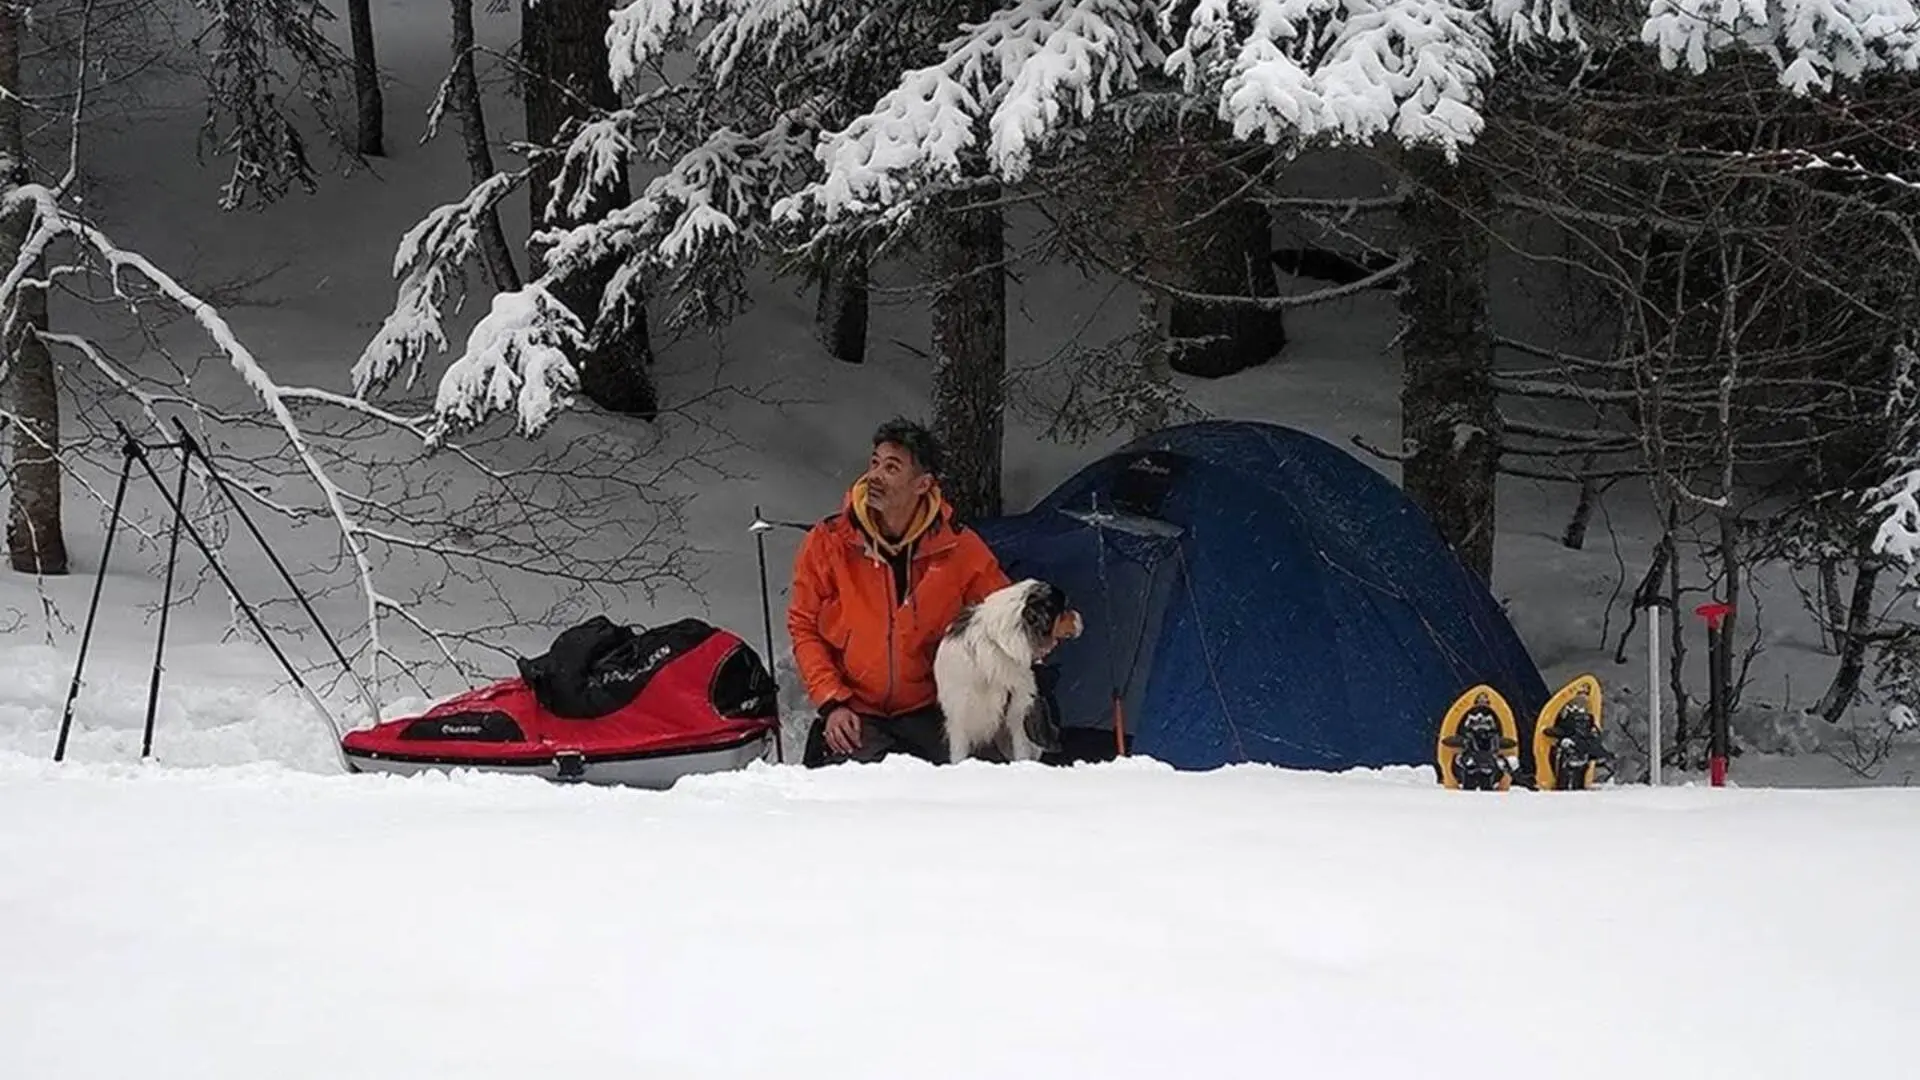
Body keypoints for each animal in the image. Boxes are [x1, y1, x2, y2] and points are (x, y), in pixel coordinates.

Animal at [940, 576, 1090, 760]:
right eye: (1064, 608)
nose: (1081, 618)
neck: (1000, 645)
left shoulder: (1017, 710)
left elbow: (1021, 748)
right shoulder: (960, 717)